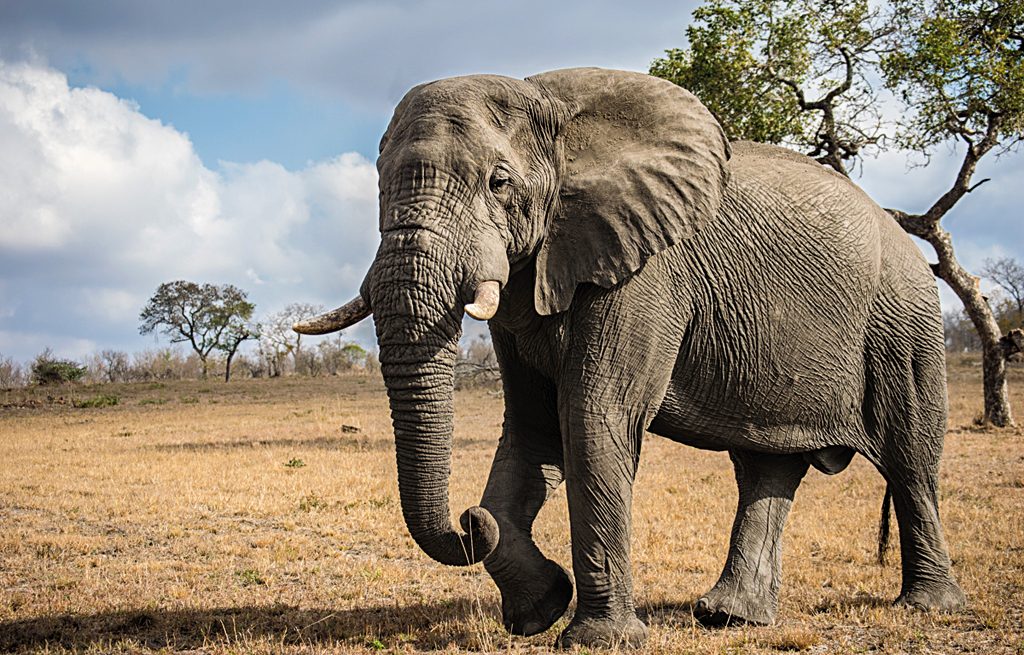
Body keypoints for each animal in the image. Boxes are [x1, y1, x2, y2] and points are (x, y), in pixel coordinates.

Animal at [294, 67, 966, 648]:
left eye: (499, 183)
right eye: (378, 187)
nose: (466, 520)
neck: (552, 105)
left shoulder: (649, 270)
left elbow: (593, 416)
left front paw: (599, 640)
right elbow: (532, 427)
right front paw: (539, 608)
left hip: (904, 319)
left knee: (910, 457)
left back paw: (928, 608)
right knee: (765, 466)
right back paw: (730, 618)